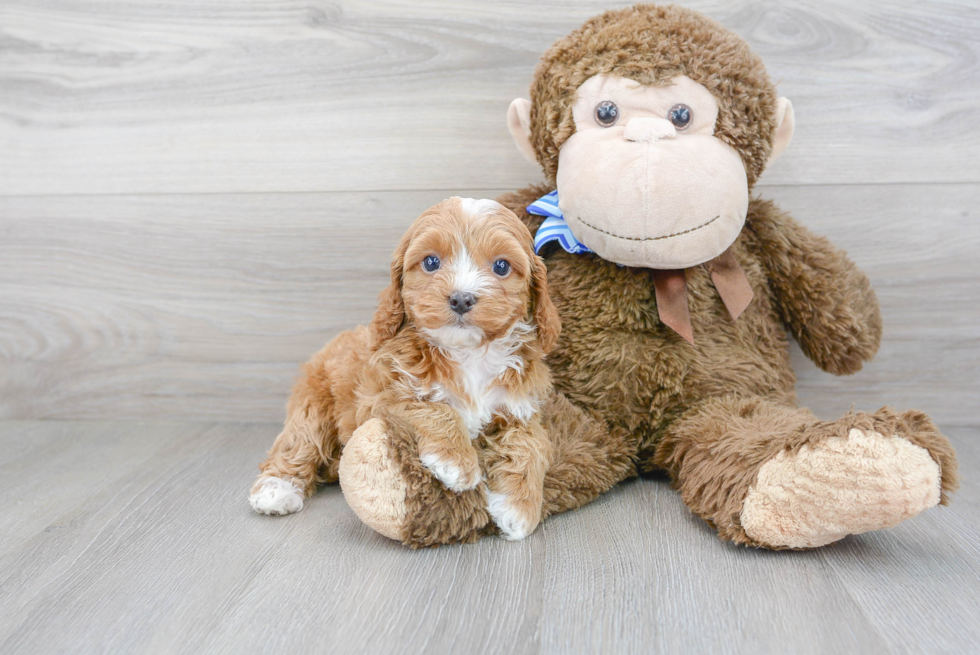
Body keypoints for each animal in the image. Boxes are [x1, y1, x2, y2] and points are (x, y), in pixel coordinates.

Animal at [249, 196, 564, 544]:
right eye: (431, 262)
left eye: (502, 266)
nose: (461, 298)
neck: (467, 354)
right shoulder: (380, 397)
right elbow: (433, 407)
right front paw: (457, 461)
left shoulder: (519, 409)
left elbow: (532, 445)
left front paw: (519, 507)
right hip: (314, 401)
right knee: (299, 441)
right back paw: (276, 489)